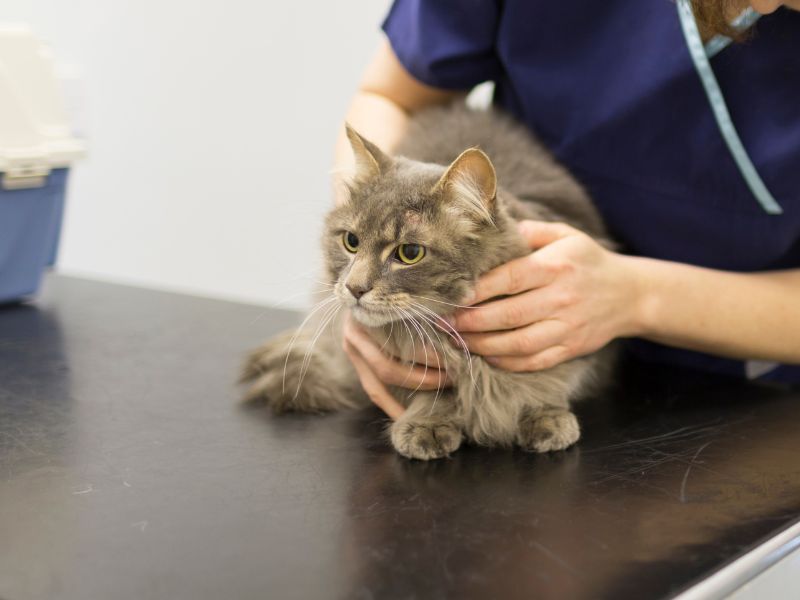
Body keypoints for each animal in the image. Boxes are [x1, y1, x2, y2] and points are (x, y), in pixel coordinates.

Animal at [241, 102, 616, 460]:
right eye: (351, 241)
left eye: (409, 253)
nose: (354, 288)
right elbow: (434, 391)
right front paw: (429, 424)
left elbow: (549, 382)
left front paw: (545, 416)